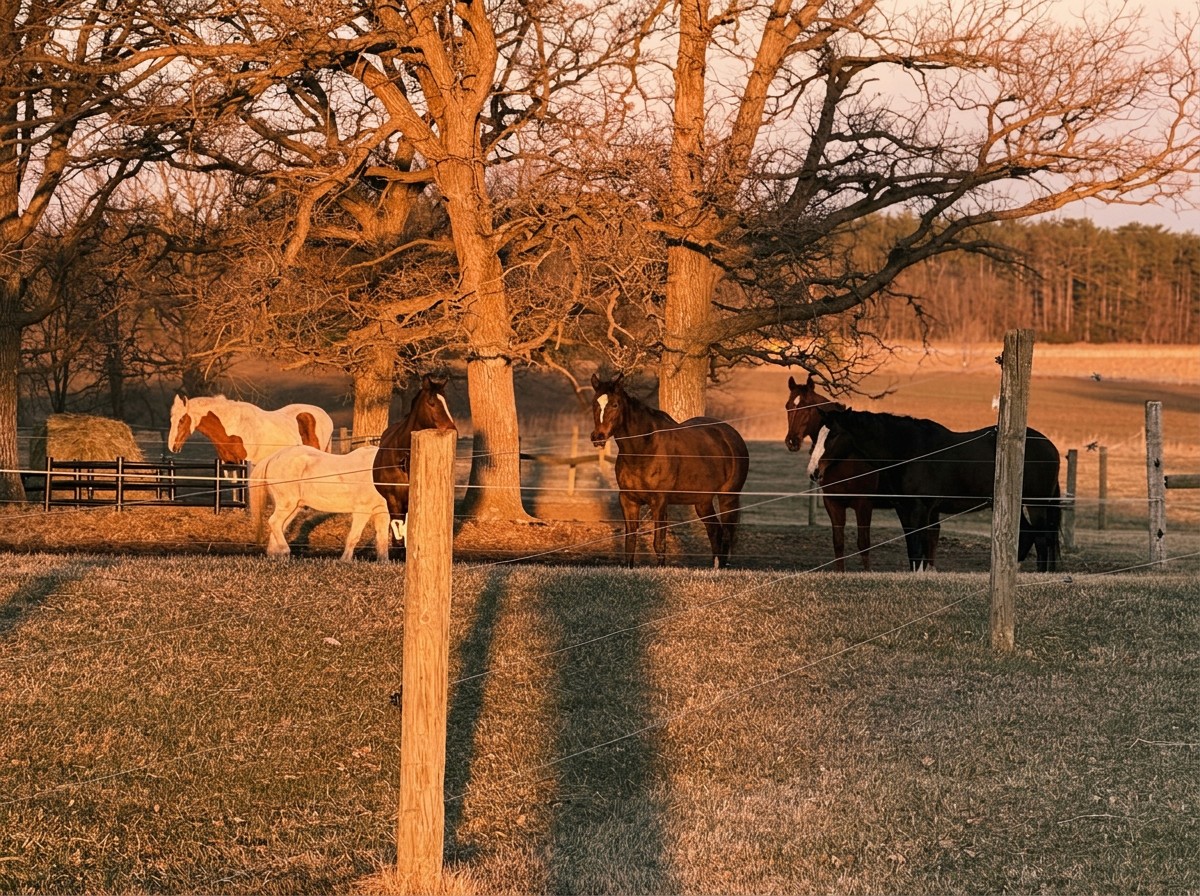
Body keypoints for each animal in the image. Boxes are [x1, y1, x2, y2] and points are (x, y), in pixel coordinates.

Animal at [251, 446, 389, 562]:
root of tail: (272, 457)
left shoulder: (382, 512)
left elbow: (382, 539)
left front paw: (384, 562)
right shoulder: (362, 510)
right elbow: (354, 536)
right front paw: (345, 560)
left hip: (294, 507)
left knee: (280, 525)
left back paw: (275, 556)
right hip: (287, 504)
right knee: (274, 522)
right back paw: (285, 551)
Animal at [371, 374, 458, 558]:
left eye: (446, 401)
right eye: (432, 402)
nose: (452, 429)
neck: (403, 461)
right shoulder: (393, 500)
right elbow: (397, 530)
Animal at [590, 372, 749, 569]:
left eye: (614, 404)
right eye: (594, 403)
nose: (598, 437)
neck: (644, 449)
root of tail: (731, 435)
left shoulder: (659, 501)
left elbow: (659, 542)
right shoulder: (628, 500)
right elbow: (630, 542)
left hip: (728, 497)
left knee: (726, 534)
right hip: (702, 502)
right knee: (714, 531)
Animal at [784, 374, 893, 571]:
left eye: (807, 406)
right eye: (788, 406)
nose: (792, 441)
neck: (846, 458)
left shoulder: (863, 504)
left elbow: (864, 544)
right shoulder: (833, 502)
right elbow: (838, 543)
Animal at [811, 407, 1062, 572]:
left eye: (833, 434)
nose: (814, 471)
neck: (909, 451)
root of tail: (1051, 447)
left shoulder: (919, 509)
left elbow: (918, 546)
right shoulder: (904, 509)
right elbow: (913, 547)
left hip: (1036, 503)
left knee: (1042, 537)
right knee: (1029, 534)